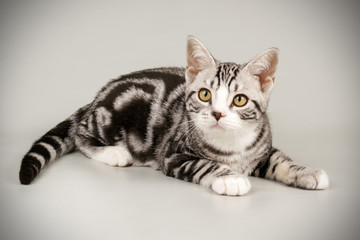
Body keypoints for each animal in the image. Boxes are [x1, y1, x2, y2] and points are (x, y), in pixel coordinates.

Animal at [19, 35, 330, 196]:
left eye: (239, 100)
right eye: (204, 94)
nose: (218, 114)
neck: (232, 146)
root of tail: (97, 97)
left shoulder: (263, 147)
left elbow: (281, 160)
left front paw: (307, 172)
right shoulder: (174, 154)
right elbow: (207, 164)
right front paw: (230, 178)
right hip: (110, 118)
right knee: (81, 131)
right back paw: (113, 152)